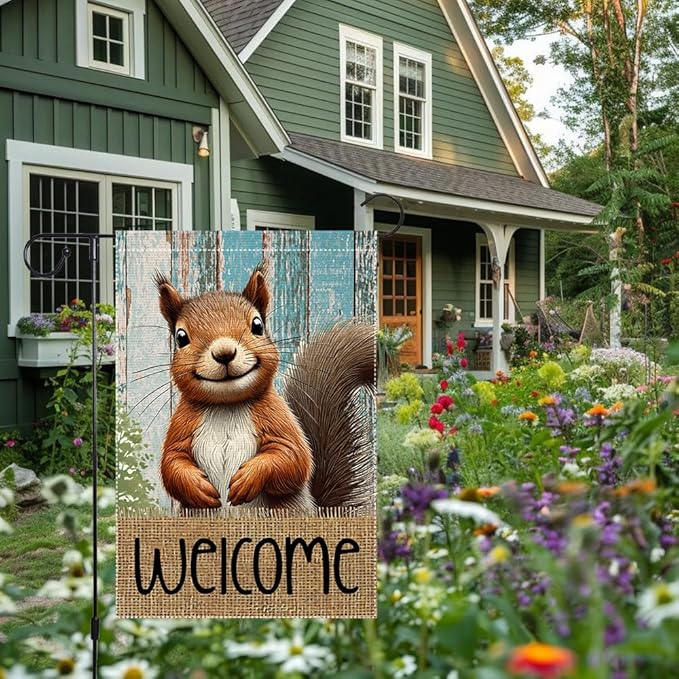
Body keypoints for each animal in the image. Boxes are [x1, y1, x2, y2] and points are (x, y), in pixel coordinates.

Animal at [154, 264, 375, 513]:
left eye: (257, 325)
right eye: (181, 337)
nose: (224, 353)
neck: (227, 406)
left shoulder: (277, 416)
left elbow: (293, 457)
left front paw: (248, 478)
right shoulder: (182, 424)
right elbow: (172, 462)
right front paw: (198, 486)